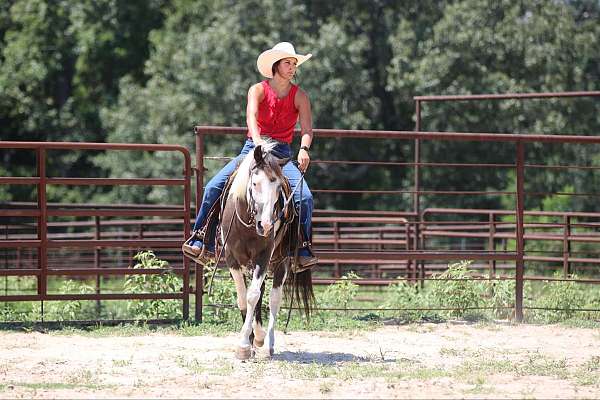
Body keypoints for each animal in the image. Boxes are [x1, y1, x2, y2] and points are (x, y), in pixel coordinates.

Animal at [219, 143, 314, 360]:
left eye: (278, 187)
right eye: (254, 183)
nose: (267, 225)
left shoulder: (263, 255)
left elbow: (253, 295)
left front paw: (247, 344)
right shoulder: (231, 257)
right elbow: (242, 296)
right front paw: (249, 342)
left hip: (281, 261)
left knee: (273, 299)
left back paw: (267, 344)